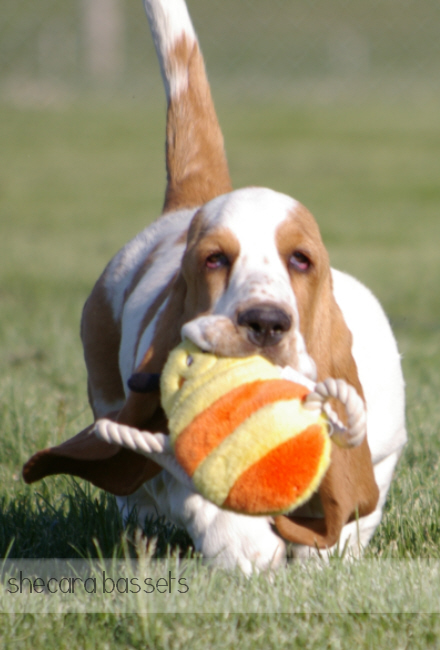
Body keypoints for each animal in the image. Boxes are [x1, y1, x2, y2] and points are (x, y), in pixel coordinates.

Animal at [22, 0, 408, 568]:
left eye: (301, 259)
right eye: (214, 259)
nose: (265, 323)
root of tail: (189, 200)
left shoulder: (381, 447)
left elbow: (353, 515)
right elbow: (208, 501)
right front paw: (249, 552)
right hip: (105, 382)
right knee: (137, 489)